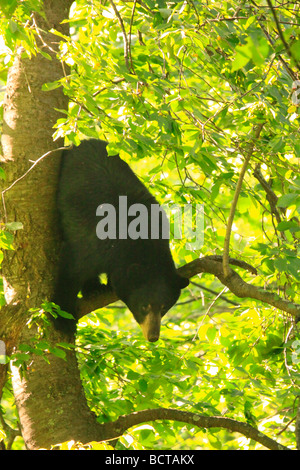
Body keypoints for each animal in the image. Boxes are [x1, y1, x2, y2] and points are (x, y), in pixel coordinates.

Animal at [53, 140, 189, 342]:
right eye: (144, 306)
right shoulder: (92, 244)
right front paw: (63, 320)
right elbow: (70, 272)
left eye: (164, 307)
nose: (153, 336)